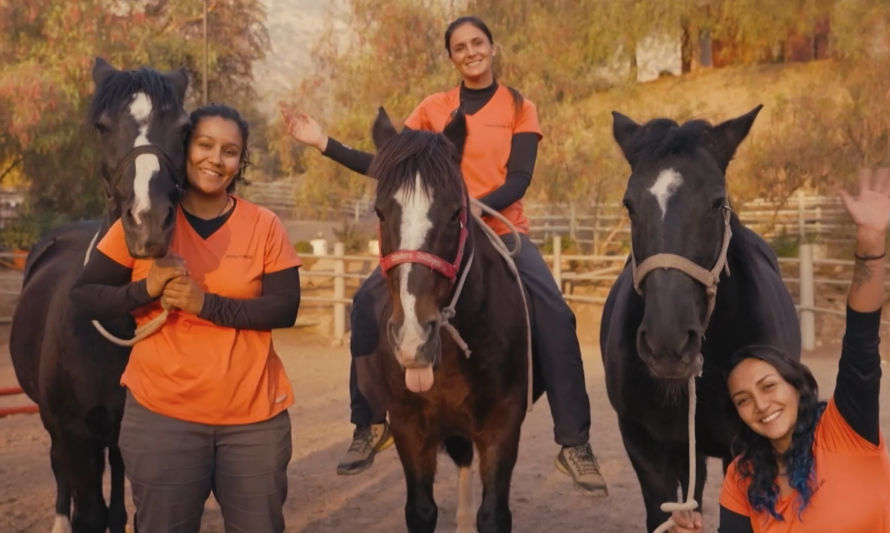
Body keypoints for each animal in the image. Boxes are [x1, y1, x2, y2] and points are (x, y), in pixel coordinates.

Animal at [10, 58, 187, 532]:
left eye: (182, 127)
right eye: (103, 126)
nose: (148, 223)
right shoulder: (76, 434)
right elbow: (88, 511)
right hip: (56, 426)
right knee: (60, 472)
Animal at [370, 109, 536, 532]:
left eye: (455, 213)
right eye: (380, 212)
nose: (413, 340)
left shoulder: (502, 427)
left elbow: (493, 515)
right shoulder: (408, 428)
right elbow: (421, 510)